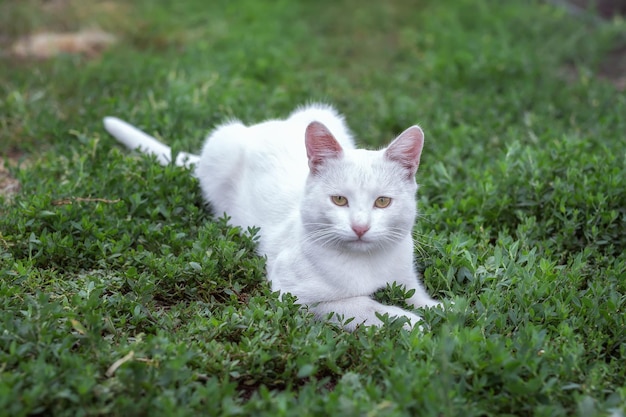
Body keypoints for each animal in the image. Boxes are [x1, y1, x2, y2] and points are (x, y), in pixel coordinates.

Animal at [103, 103, 438, 328]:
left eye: (382, 202)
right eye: (339, 200)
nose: (360, 227)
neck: (366, 263)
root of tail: (263, 126)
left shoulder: (406, 278)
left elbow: (421, 298)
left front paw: (440, 309)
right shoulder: (293, 293)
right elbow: (358, 305)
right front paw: (409, 321)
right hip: (222, 144)